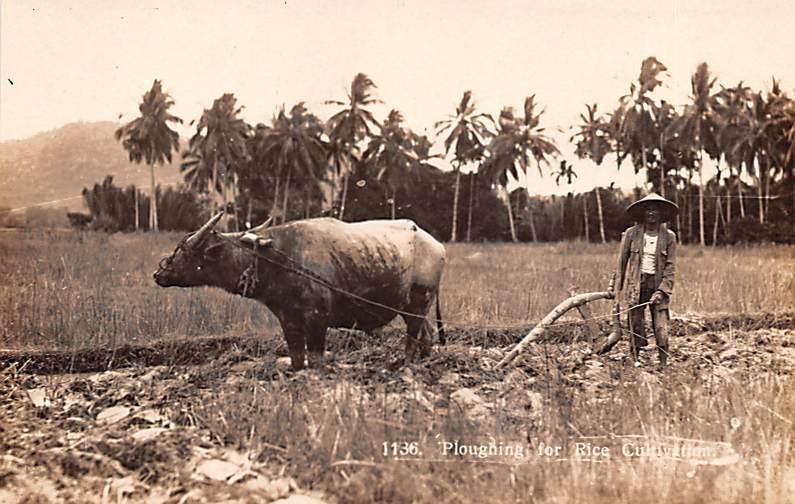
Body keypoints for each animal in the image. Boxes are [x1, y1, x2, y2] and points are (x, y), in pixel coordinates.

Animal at [152, 212, 444, 370]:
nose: (158, 273)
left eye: (184, 250)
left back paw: (406, 364)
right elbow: (296, 356)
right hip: (413, 307)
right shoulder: (288, 320)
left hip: (418, 302)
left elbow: (314, 359)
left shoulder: (317, 320)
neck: (277, 258)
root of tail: (436, 244)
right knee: (427, 333)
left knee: (413, 335)